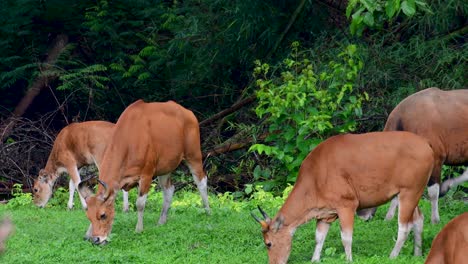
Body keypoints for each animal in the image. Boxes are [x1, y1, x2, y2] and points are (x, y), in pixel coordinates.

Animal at [78, 100, 210, 244]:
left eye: (103, 215)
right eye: (89, 216)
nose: (96, 239)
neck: (129, 140)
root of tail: (189, 113)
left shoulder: (146, 175)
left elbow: (140, 204)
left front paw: (139, 229)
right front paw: (88, 233)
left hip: (193, 155)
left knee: (201, 182)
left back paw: (208, 211)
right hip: (165, 168)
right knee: (169, 190)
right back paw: (161, 221)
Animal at [252, 132, 436, 262]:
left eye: (268, 243)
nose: (273, 263)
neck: (316, 178)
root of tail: (426, 144)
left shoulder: (347, 205)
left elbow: (346, 238)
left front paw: (349, 259)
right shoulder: (325, 214)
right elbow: (318, 238)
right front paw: (314, 260)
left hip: (409, 192)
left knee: (404, 227)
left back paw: (393, 256)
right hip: (413, 192)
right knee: (419, 219)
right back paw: (417, 253)